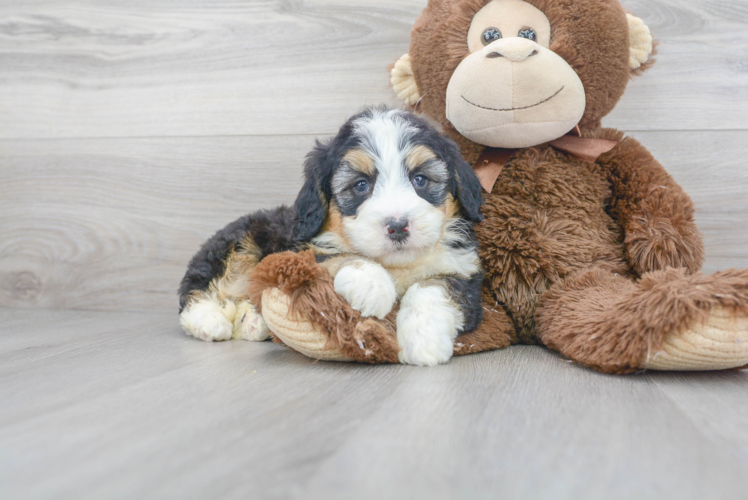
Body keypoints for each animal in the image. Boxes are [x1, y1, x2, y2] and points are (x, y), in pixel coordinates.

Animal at [180, 107, 486, 366]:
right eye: (361, 185)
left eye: (420, 180)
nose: (398, 226)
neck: (397, 265)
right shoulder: (302, 251)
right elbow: (341, 255)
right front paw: (371, 284)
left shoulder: (464, 271)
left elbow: (433, 287)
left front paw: (423, 340)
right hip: (239, 245)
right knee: (198, 289)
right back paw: (209, 320)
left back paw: (253, 321)